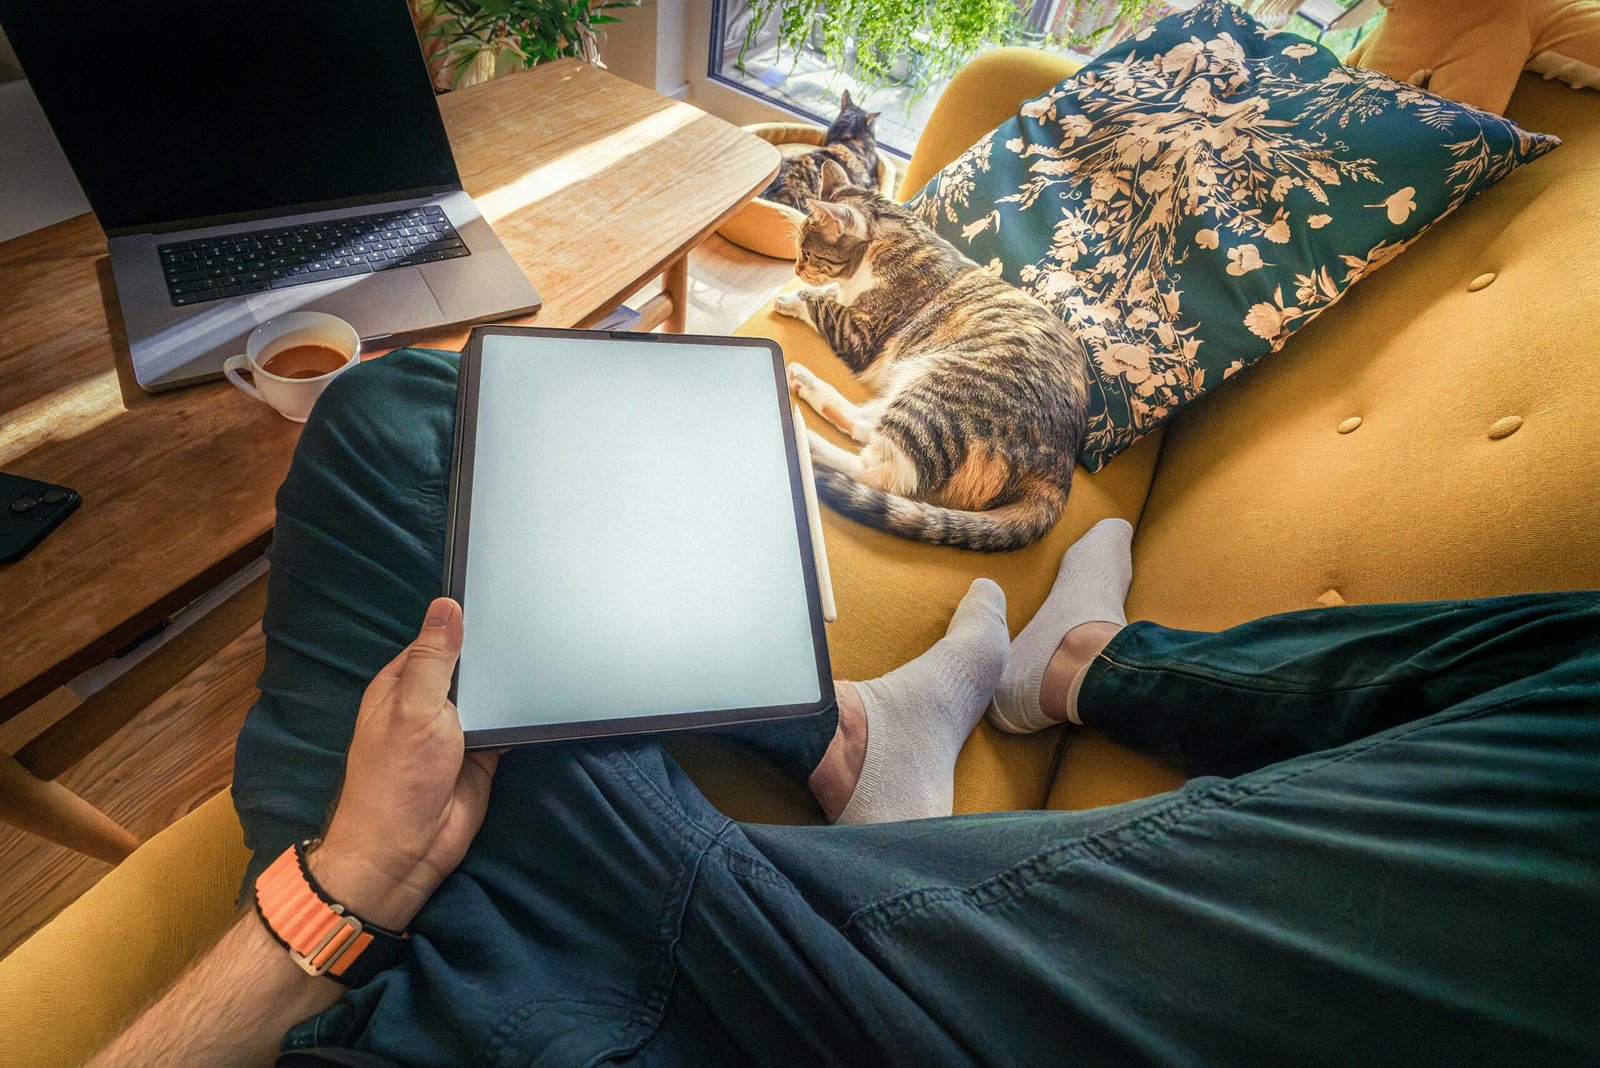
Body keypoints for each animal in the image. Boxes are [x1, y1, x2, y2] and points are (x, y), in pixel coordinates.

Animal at [774, 164, 1088, 559]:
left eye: (809, 254)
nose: (796, 268)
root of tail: (1060, 474)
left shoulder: (859, 333)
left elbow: (821, 303)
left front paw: (793, 298)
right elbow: (830, 295)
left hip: (940, 391)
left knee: (881, 472)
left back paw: (806, 443)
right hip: (915, 385)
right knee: (867, 426)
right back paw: (804, 382)